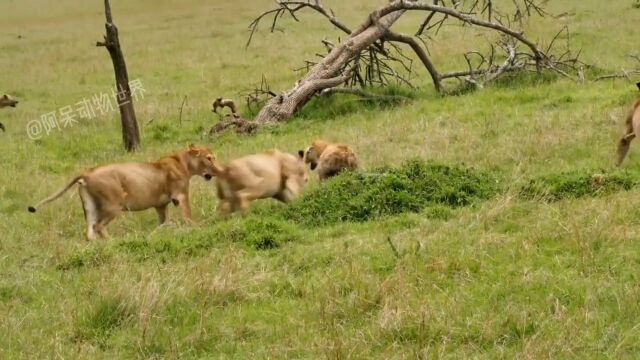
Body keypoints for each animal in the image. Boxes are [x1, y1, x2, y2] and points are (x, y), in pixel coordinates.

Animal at [28, 143, 218, 239]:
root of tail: (88, 172)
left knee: (89, 231)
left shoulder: (160, 205)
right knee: (98, 226)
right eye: (209, 158)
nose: (218, 170)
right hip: (113, 205)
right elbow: (189, 217)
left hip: (90, 207)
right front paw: (199, 229)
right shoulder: (180, 196)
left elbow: (163, 222)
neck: (184, 163)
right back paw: (113, 244)